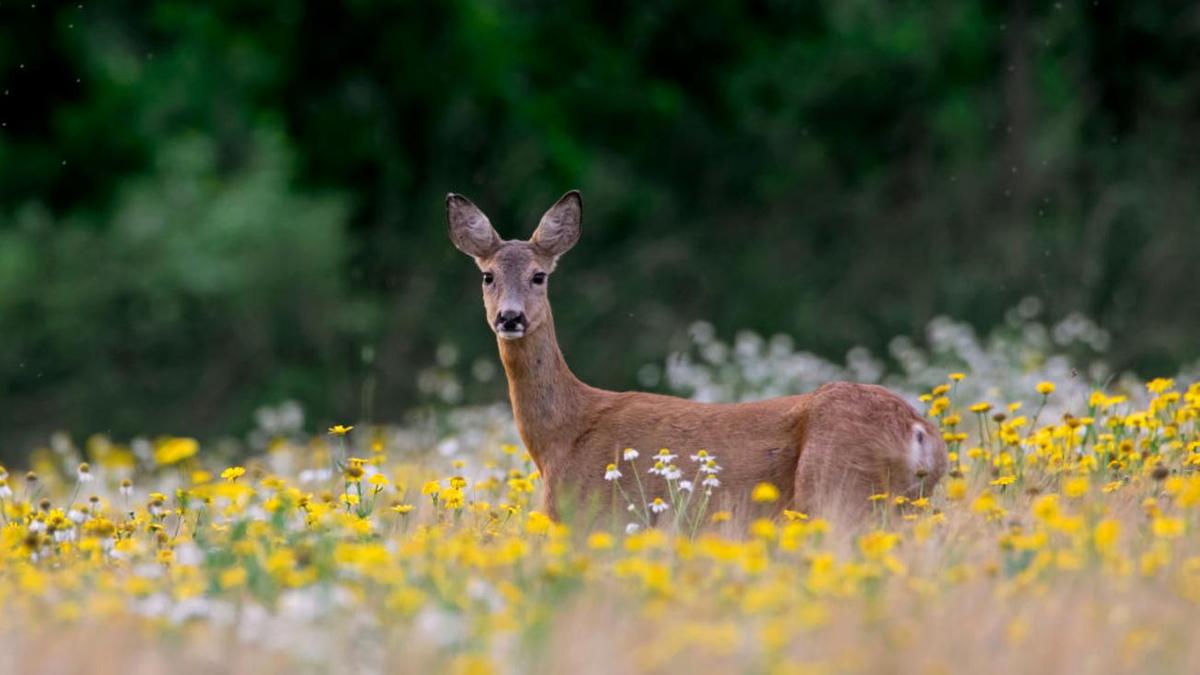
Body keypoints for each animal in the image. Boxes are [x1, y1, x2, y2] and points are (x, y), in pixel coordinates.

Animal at [451, 189, 945, 521]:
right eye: (487, 276)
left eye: (539, 276)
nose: (510, 317)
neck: (561, 437)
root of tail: (920, 432)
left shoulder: (600, 518)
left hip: (839, 492)